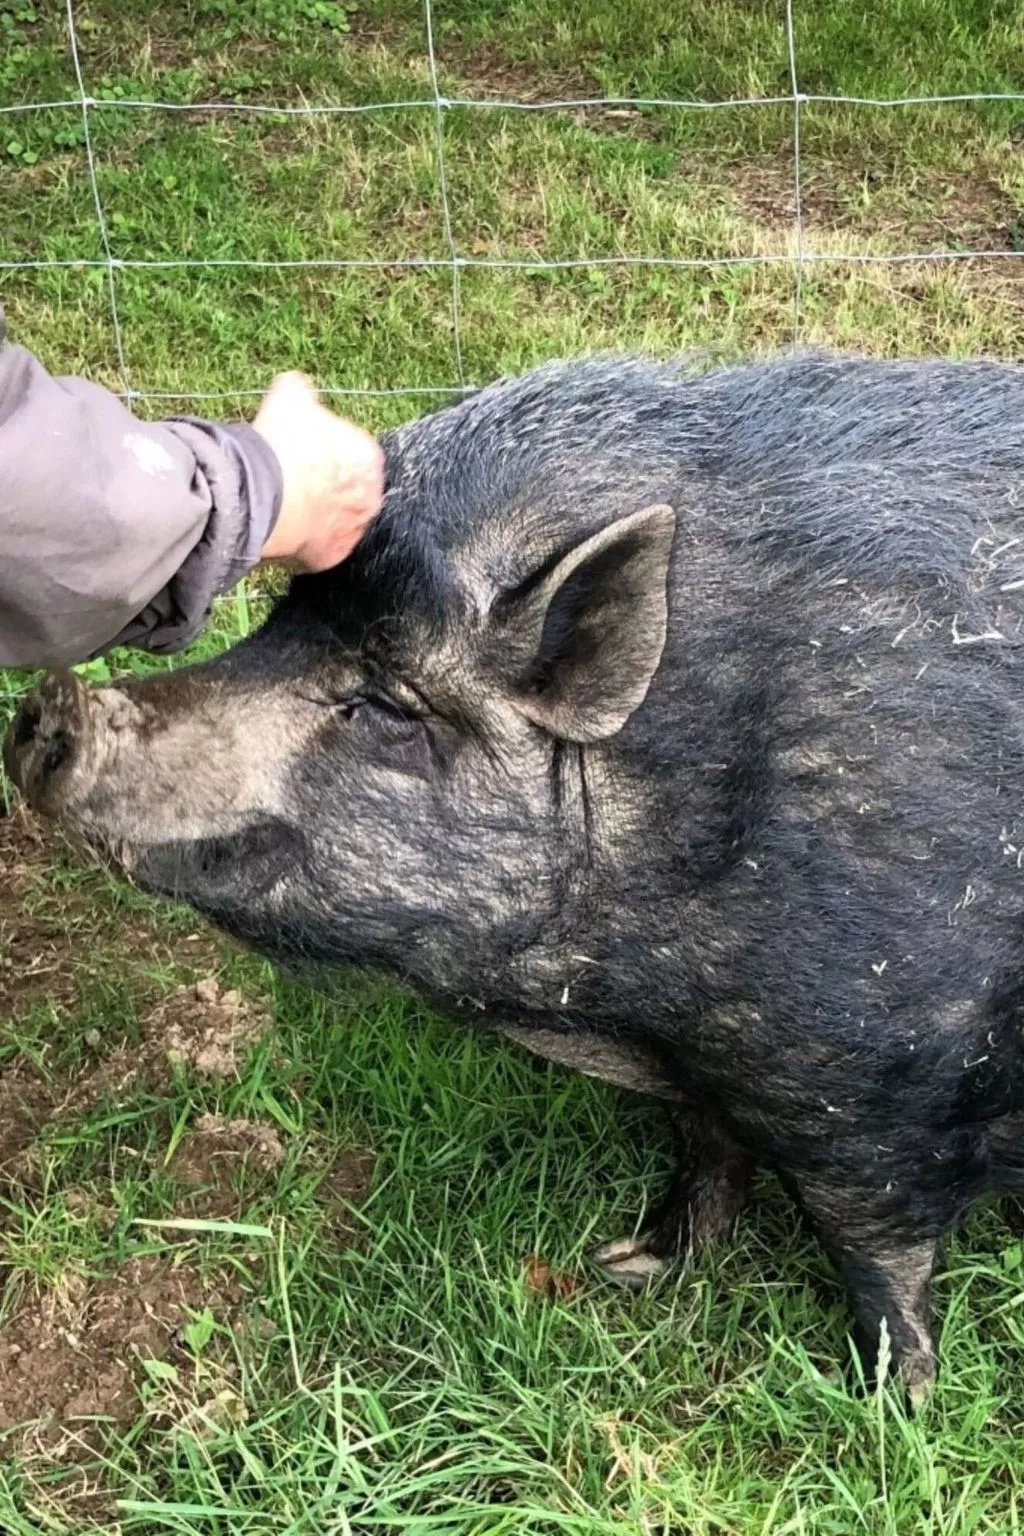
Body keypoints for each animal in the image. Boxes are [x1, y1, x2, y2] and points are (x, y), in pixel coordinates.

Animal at [5, 351, 1024, 1406]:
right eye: (275, 629)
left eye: (387, 706)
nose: (51, 705)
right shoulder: (712, 1070)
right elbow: (707, 1153)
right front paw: (632, 1267)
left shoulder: (878, 1084)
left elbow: (876, 1250)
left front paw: (891, 1403)